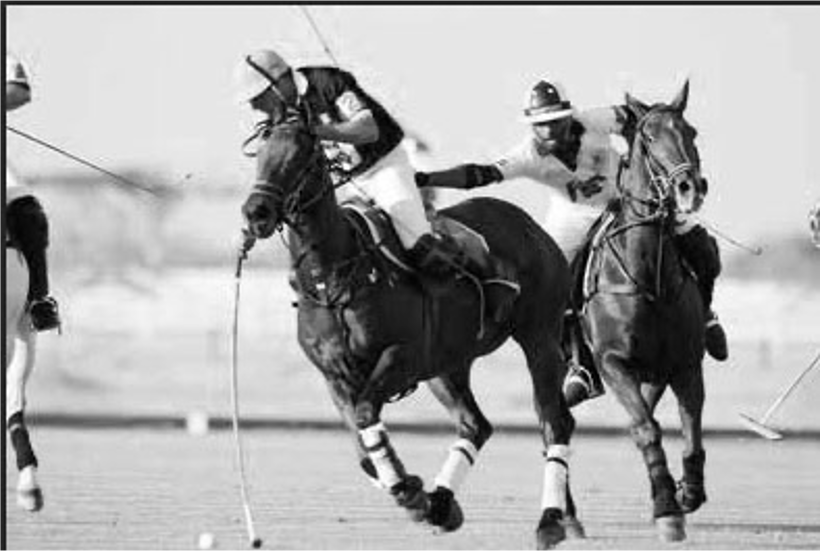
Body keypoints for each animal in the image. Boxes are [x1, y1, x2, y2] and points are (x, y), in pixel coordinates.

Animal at [242, 119, 576, 548]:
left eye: (303, 156)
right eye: (261, 155)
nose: (256, 211)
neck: (333, 279)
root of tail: (534, 228)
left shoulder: (402, 355)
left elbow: (367, 413)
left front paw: (410, 491)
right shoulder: (334, 376)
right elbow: (364, 452)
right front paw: (417, 492)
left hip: (540, 337)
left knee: (554, 420)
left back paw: (549, 521)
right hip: (448, 364)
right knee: (475, 424)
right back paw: (443, 504)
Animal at [580, 80, 708, 540]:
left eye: (691, 131)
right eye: (649, 138)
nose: (690, 188)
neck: (649, 278)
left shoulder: (684, 363)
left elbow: (690, 430)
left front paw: (688, 492)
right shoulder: (614, 363)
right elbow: (648, 431)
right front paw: (667, 508)